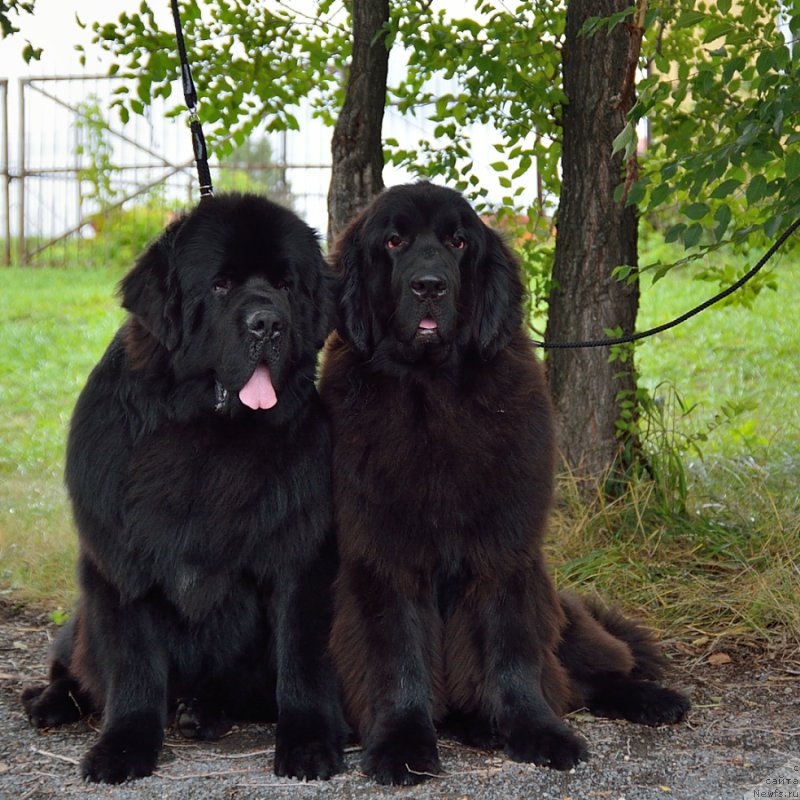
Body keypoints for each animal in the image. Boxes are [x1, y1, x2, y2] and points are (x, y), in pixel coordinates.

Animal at [21, 197, 344, 784]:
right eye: (219, 285)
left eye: (285, 285)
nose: (269, 323)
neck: (207, 436)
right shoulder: (122, 560)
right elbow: (132, 664)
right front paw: (123, 746)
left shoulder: (298, 556)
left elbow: (302, 655)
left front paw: (309, 741)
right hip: (80, 616)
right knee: (74, 661)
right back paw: (51, 701)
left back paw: (203, 712)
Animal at [318, 183, 688, 788]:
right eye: (393, 242)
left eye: (458, 242)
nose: (430, 286)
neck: (433, 393)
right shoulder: (384, 556)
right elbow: (396, 653)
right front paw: (401, 743)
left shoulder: (506, 552)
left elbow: (511, 648)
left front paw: (536, 731)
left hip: (559, 604)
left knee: (590, 672)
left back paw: (652, 699)